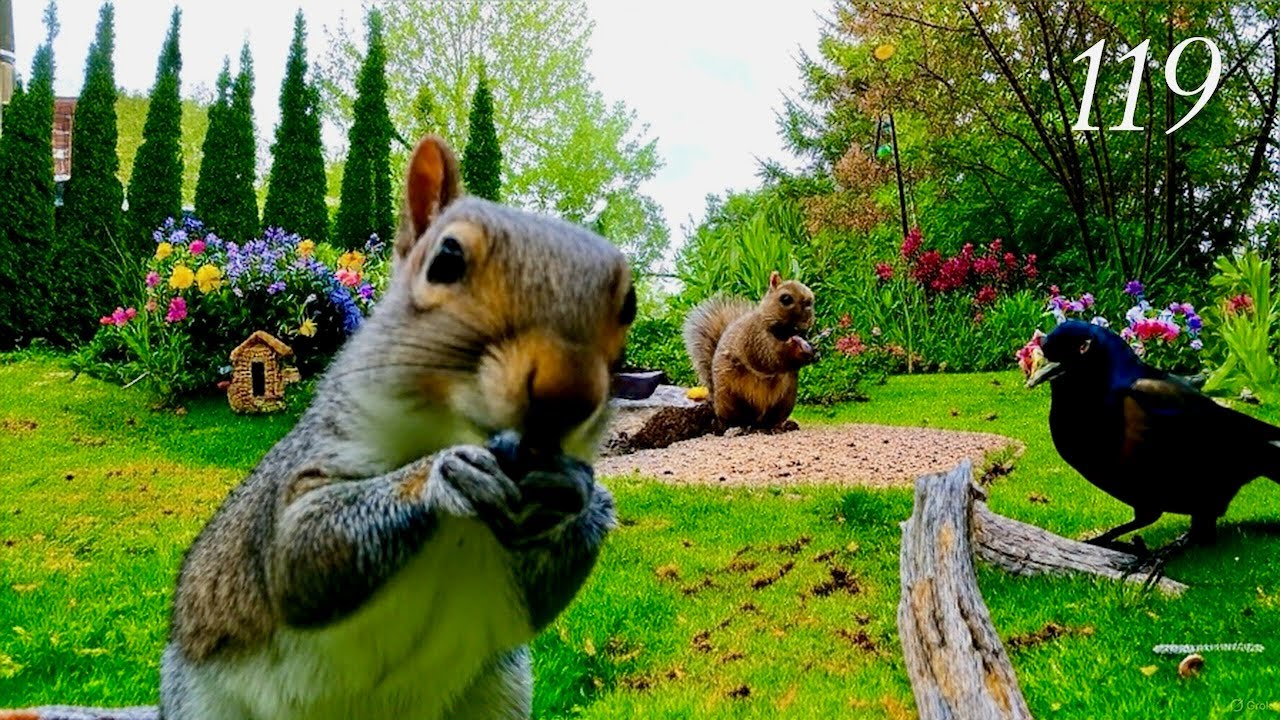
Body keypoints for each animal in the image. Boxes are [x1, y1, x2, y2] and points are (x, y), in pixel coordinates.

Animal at [3, 135, 635, 720]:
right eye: (446, 260)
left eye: (629, 302)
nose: (568, 393)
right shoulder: (314, 464)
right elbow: (298, 553)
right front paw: (441, 475)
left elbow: (534, 606)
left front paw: (578, 495)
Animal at [682, 271, 816, 429]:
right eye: (786, 298)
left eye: (812, 300)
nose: (808, 309)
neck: (783, 333)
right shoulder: (753, 339)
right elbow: (768, 357)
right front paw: (797, 350)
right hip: (732, 398)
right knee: (736, 419)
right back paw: (735, 427)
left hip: (785, 399)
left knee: (771, 420)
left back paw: (782, 426)